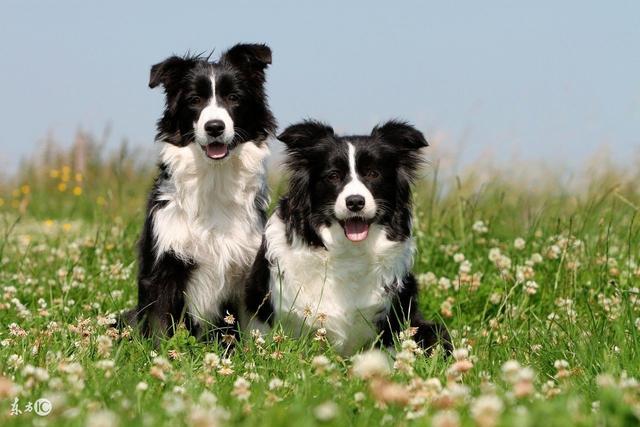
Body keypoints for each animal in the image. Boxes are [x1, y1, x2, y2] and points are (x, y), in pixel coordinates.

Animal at [124, 43, 276, 342]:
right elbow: (159, 328)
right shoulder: (163, 268)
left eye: (233, 97)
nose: (214, 127)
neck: (214, 178)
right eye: (194, 100)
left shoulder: (247, 271)